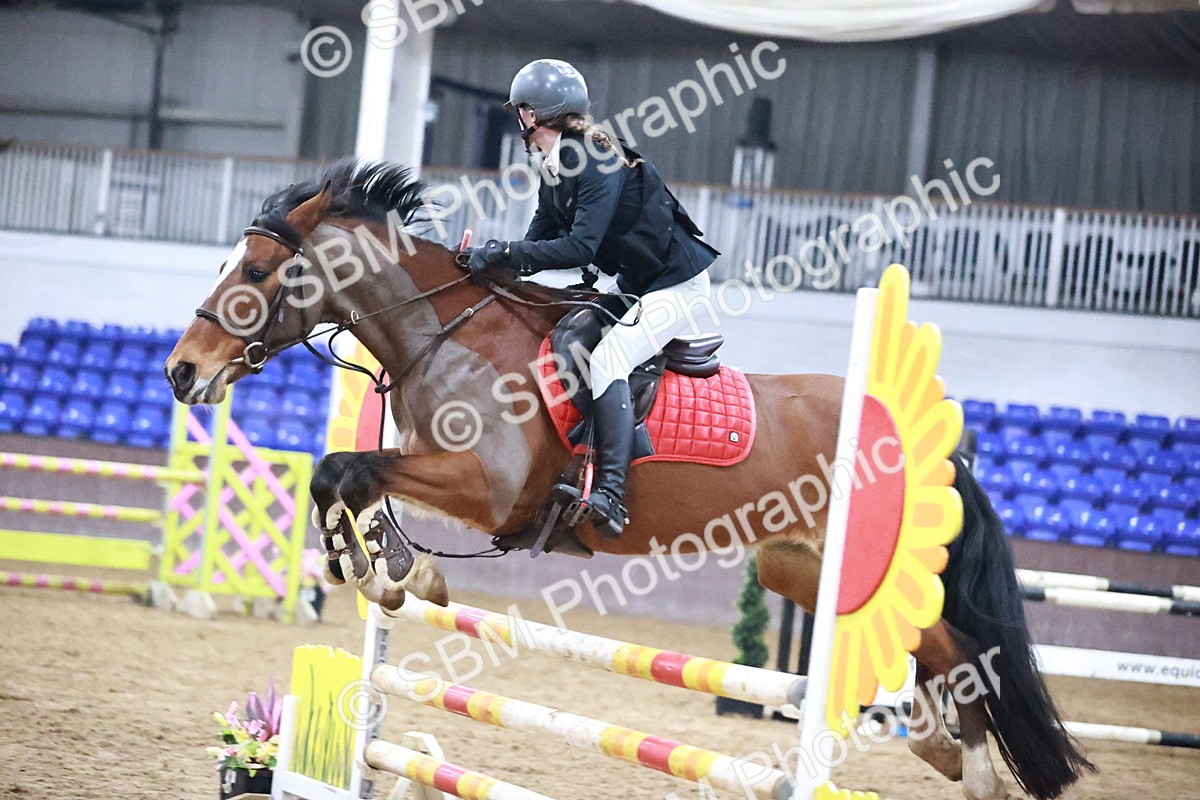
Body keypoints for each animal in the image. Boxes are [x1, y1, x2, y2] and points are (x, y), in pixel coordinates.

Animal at [165, 160, 1093, 800]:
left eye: (254, 274)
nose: (181, 372)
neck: (450, 333)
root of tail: (922, 442)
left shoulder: (491, 488)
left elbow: (343, 471)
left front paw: (381, 572)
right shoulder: (441, 469)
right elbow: (355, 482)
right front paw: (397, 573)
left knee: (960, 647)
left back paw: (975, 771)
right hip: (792, 564)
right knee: (933, 642)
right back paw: (940, 748)